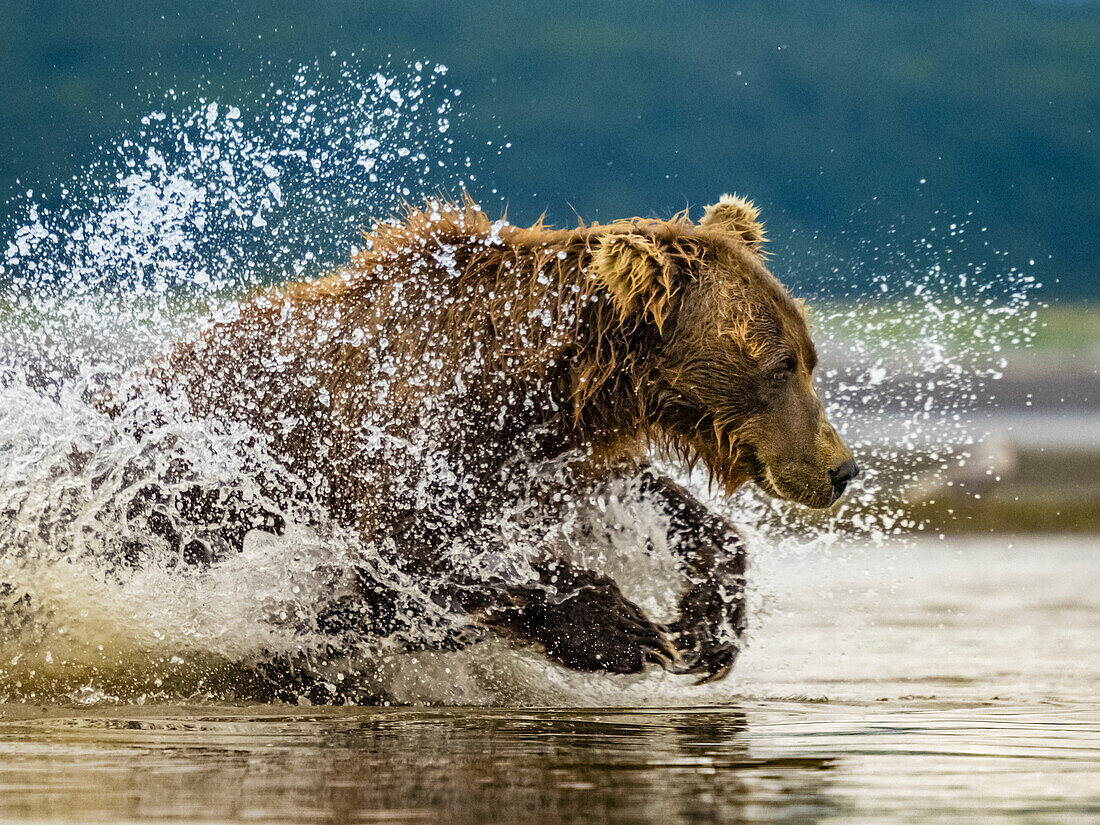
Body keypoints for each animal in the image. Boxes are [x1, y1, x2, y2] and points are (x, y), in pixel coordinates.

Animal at [133, 193, 858, 686]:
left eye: (809, 356)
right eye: (780, 366)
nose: (841, 468)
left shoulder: (552, 452)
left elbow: (649, 503)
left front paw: (710, 624)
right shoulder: (400, 437)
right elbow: (411, 550)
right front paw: (623, 628)